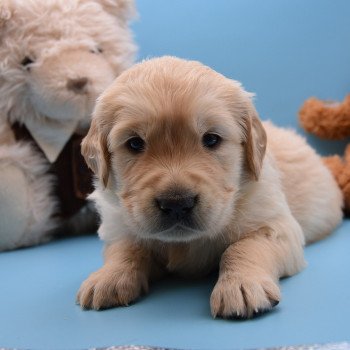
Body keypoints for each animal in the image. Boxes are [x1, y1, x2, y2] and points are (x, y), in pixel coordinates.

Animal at [76, 56, 342, 318]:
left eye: (212, 139)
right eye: (134, 143)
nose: (177, 203)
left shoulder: (276, 224)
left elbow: (244, 246)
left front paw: (241, 286)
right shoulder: (119, 223)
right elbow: (125, 248)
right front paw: (108, 277)